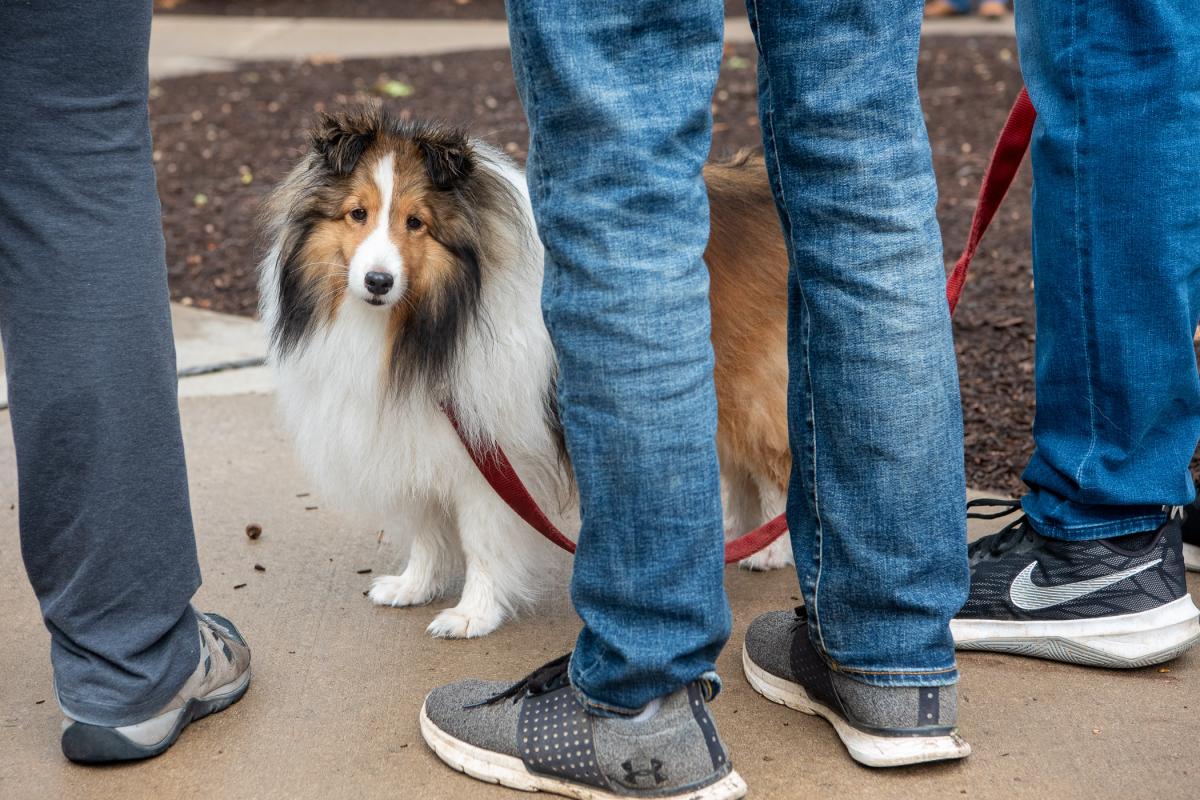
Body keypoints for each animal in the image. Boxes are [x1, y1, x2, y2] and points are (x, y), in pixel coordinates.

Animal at [258, 109, 792, 642]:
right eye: (357, 214)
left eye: (415, 222)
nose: (378, 282)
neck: (422, 322)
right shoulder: (420, 434)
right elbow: (427, 526)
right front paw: (415, 585)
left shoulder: (492, 449)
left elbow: (481, 538)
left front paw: (472, 613)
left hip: (753, 392)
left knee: (777, 468)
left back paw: (770, 547)